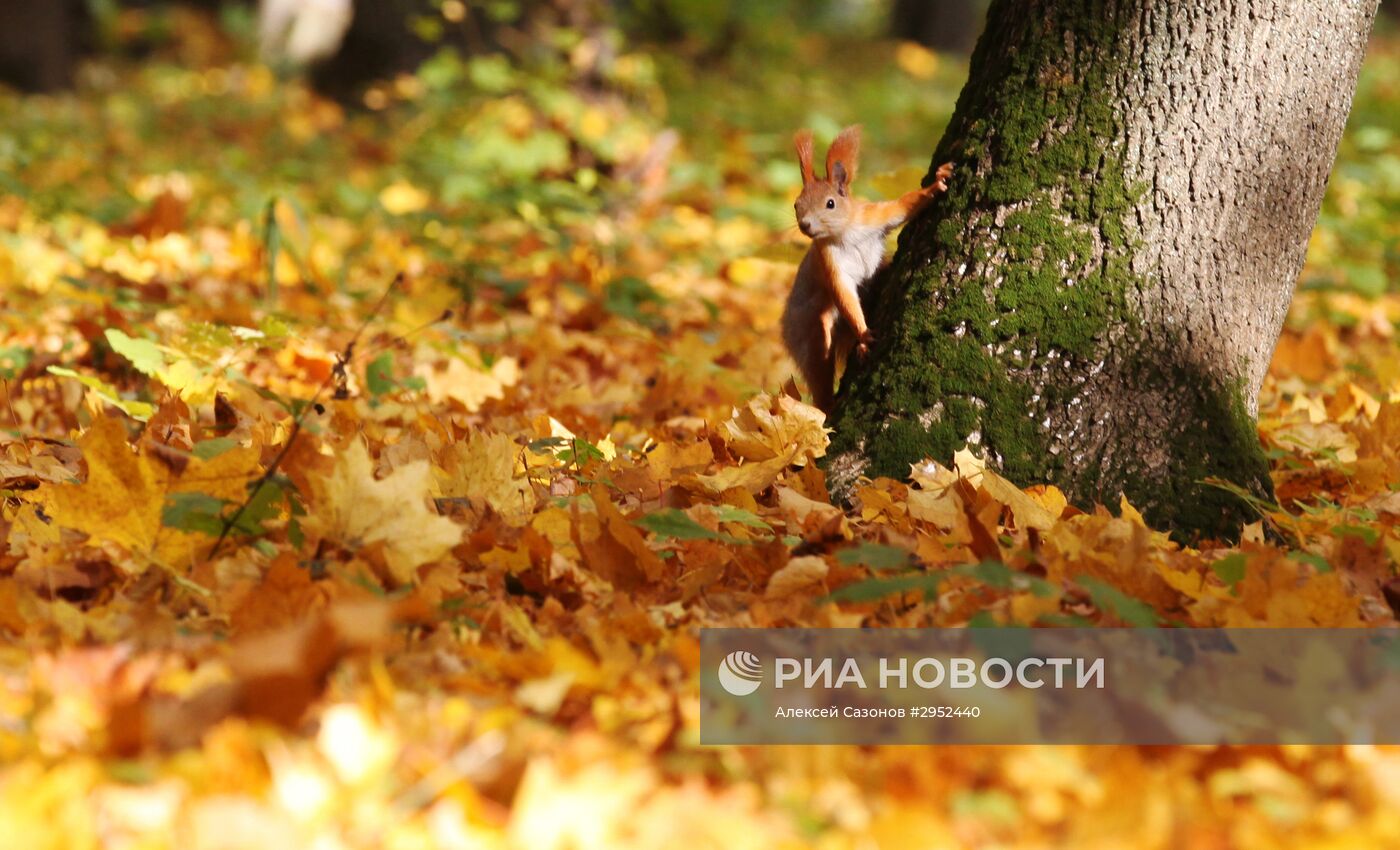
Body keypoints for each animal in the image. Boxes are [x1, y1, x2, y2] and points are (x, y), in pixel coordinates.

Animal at [778, 126, 952, 414]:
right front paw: (864, 334)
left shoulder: (873, 217)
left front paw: (937, 182)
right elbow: (844, 293)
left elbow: (904, 206)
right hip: (811, 332)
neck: (844, 233)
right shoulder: (829, 261)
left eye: (830, 203)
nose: (805, 225)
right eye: (796, 204)